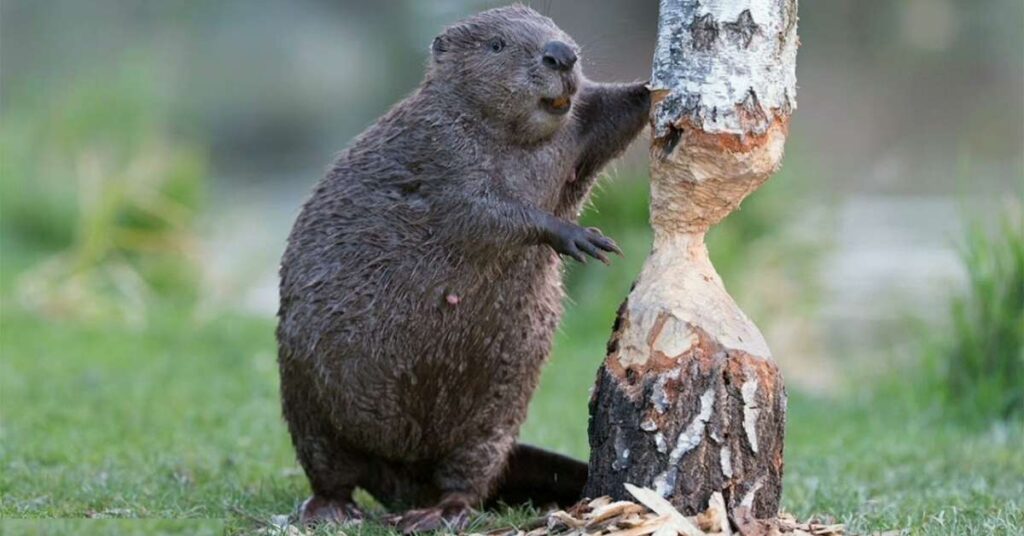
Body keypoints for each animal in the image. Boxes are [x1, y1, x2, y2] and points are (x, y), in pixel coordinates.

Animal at [276, 3, 651, 532]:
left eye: (554, 27)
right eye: (497, 44)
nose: (561, 54)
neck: (512, 138)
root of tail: (401, 473)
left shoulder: (579, 127)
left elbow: (611, 115)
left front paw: (657, 86)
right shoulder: (439, 148)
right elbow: (481, 209)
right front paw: (580, 237)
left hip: (491, 421)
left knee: (467, 480)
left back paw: (436, 513)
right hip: (307, 399)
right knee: (330, 468)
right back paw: (335, 510)